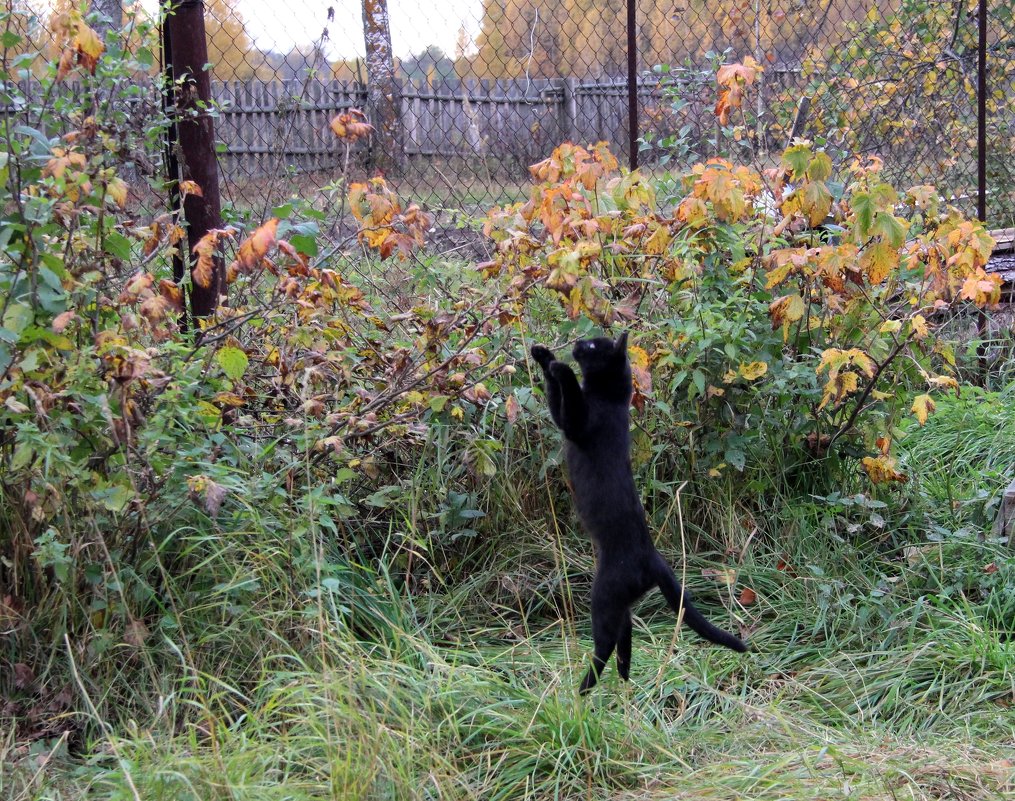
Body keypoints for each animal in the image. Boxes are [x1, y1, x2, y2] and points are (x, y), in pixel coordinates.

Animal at [531, 330, 747, 694]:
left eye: (592, 346)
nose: (576, 343)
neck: (609, 397)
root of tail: (653, 558)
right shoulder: (564, 420)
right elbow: (554, 399)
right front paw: (543, 355)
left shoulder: (578, 424)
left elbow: (567, 395)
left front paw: (561, 367)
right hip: (622, 604)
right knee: (624, 636)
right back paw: (623, 678)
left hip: (605, 594)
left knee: (604, 641)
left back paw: (583, 687)